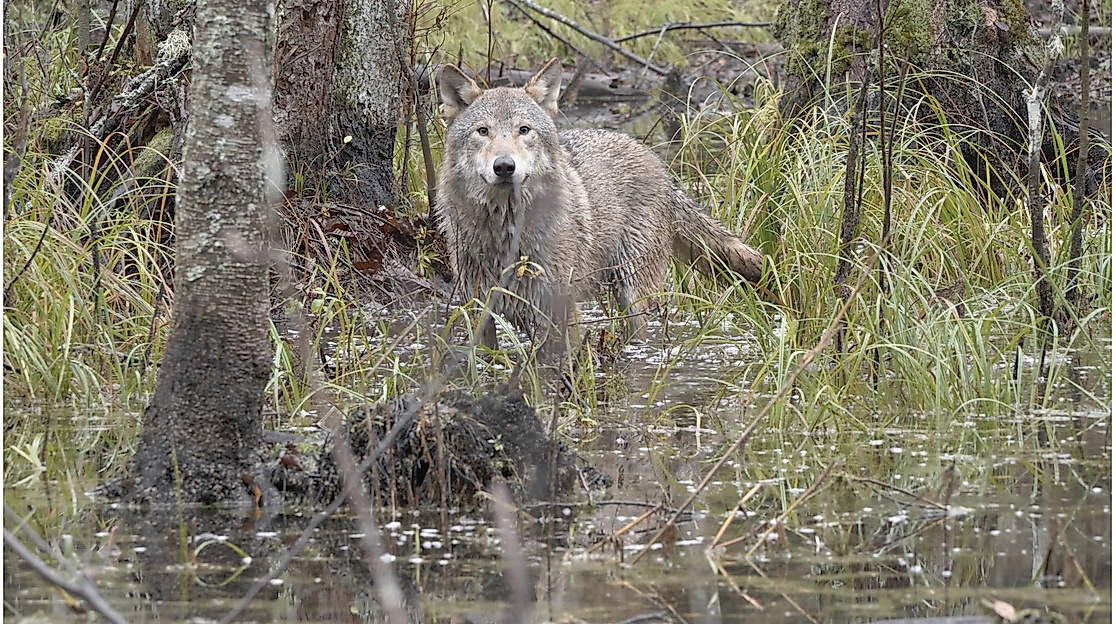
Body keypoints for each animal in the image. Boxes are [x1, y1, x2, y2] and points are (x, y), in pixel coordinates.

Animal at [435, 58, 764, 350]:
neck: (506, 231)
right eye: (483, 131)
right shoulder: (478, 310)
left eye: (524, 130)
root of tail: (657, 163)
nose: (504, 166)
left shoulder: (560, 310)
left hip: (632, 293)